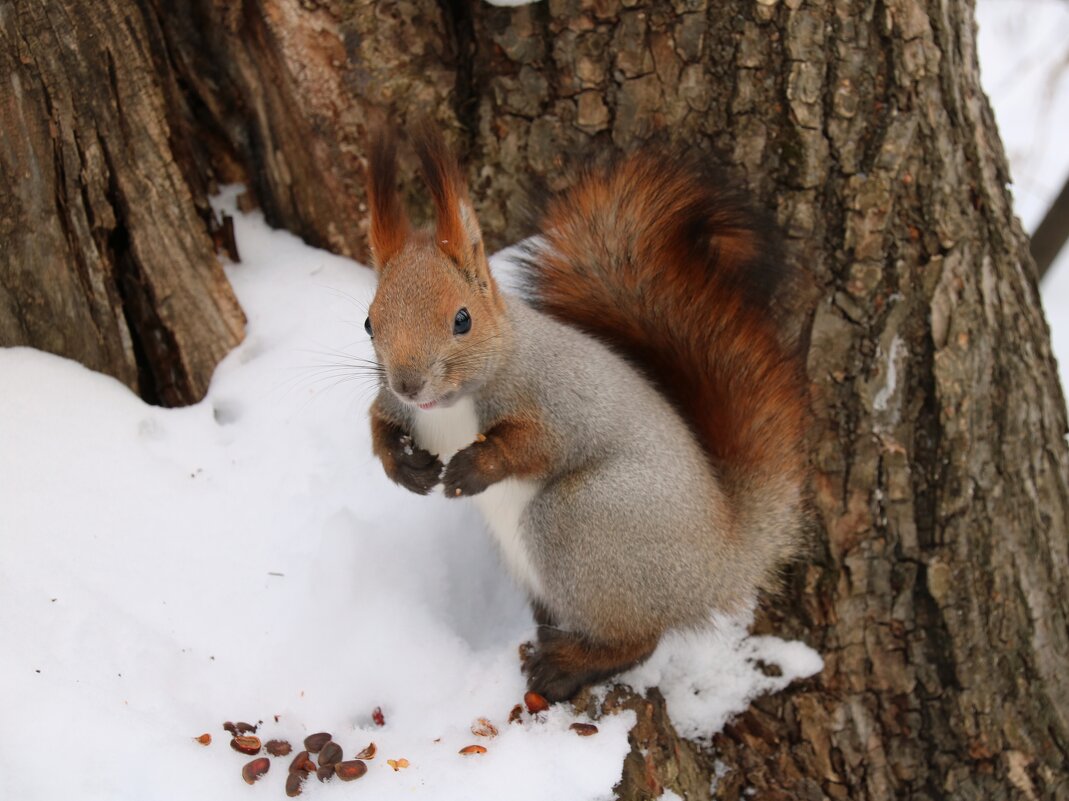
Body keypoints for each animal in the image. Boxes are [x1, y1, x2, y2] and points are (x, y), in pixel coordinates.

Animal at [363, 121, 803, 701]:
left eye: (462, 319)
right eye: (369, 323)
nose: (410, 383)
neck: (451, 408)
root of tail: (721, 560)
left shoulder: (559, 399)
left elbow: (540, 446)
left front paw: (473, 468)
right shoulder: (395, 404)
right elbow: (377, 423)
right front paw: (406, 466)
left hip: (583, 521)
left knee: (640, 639)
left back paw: (567, 666)